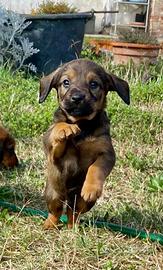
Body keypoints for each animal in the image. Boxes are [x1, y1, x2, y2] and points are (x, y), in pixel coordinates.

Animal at [38, 58, 129, 228]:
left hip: (82, 203)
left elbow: (96, 168)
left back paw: (72, 227)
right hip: (53, 194)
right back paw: (49, 225)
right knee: (56, 211)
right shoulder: (53, 154)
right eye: (66, 82)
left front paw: (91, 188)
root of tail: (68, 195)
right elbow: (58, 129)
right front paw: (65, 129)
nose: (77, 98)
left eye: (94, 84)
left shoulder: (106, 153)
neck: (82, 125)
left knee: (73, 212)